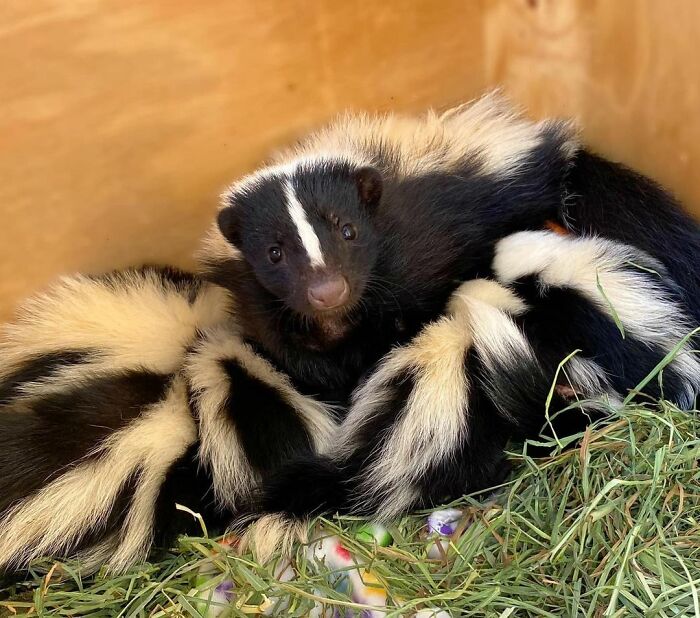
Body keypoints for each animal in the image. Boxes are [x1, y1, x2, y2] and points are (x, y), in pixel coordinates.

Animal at [201, 90, 700, 410]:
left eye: (348, 231)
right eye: (273, 253)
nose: (327, 291)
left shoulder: (420, 248)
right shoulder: (261, 302)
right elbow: (297, 355)